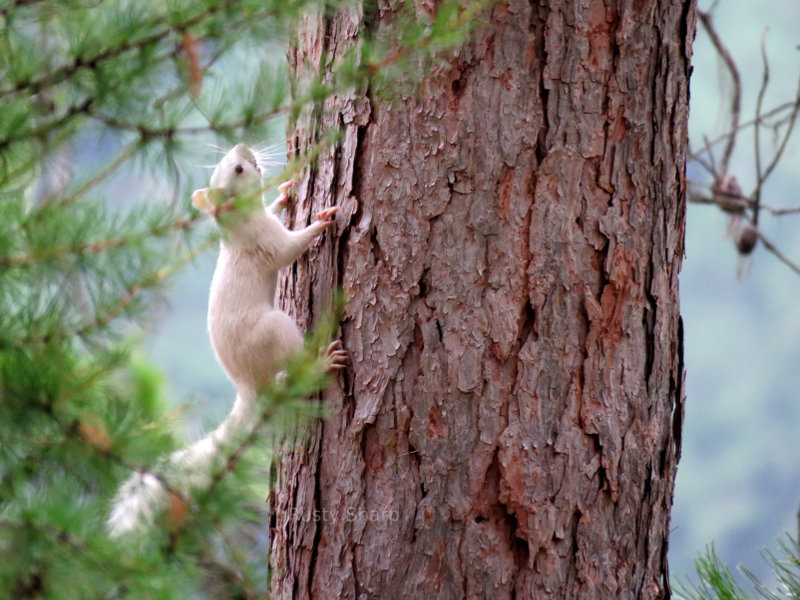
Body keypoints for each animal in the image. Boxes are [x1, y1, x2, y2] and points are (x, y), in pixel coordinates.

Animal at [108, 143, 346, 536]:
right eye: (237, 170)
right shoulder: (266, 241)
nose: (243, 147)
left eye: (228, 163)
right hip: (275, 331)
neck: (236, 222)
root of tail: (247, 388)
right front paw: (321, 221)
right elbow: (291, 248)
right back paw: (322, 363)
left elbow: (275, 210)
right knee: (292, 373)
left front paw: (285, 195)